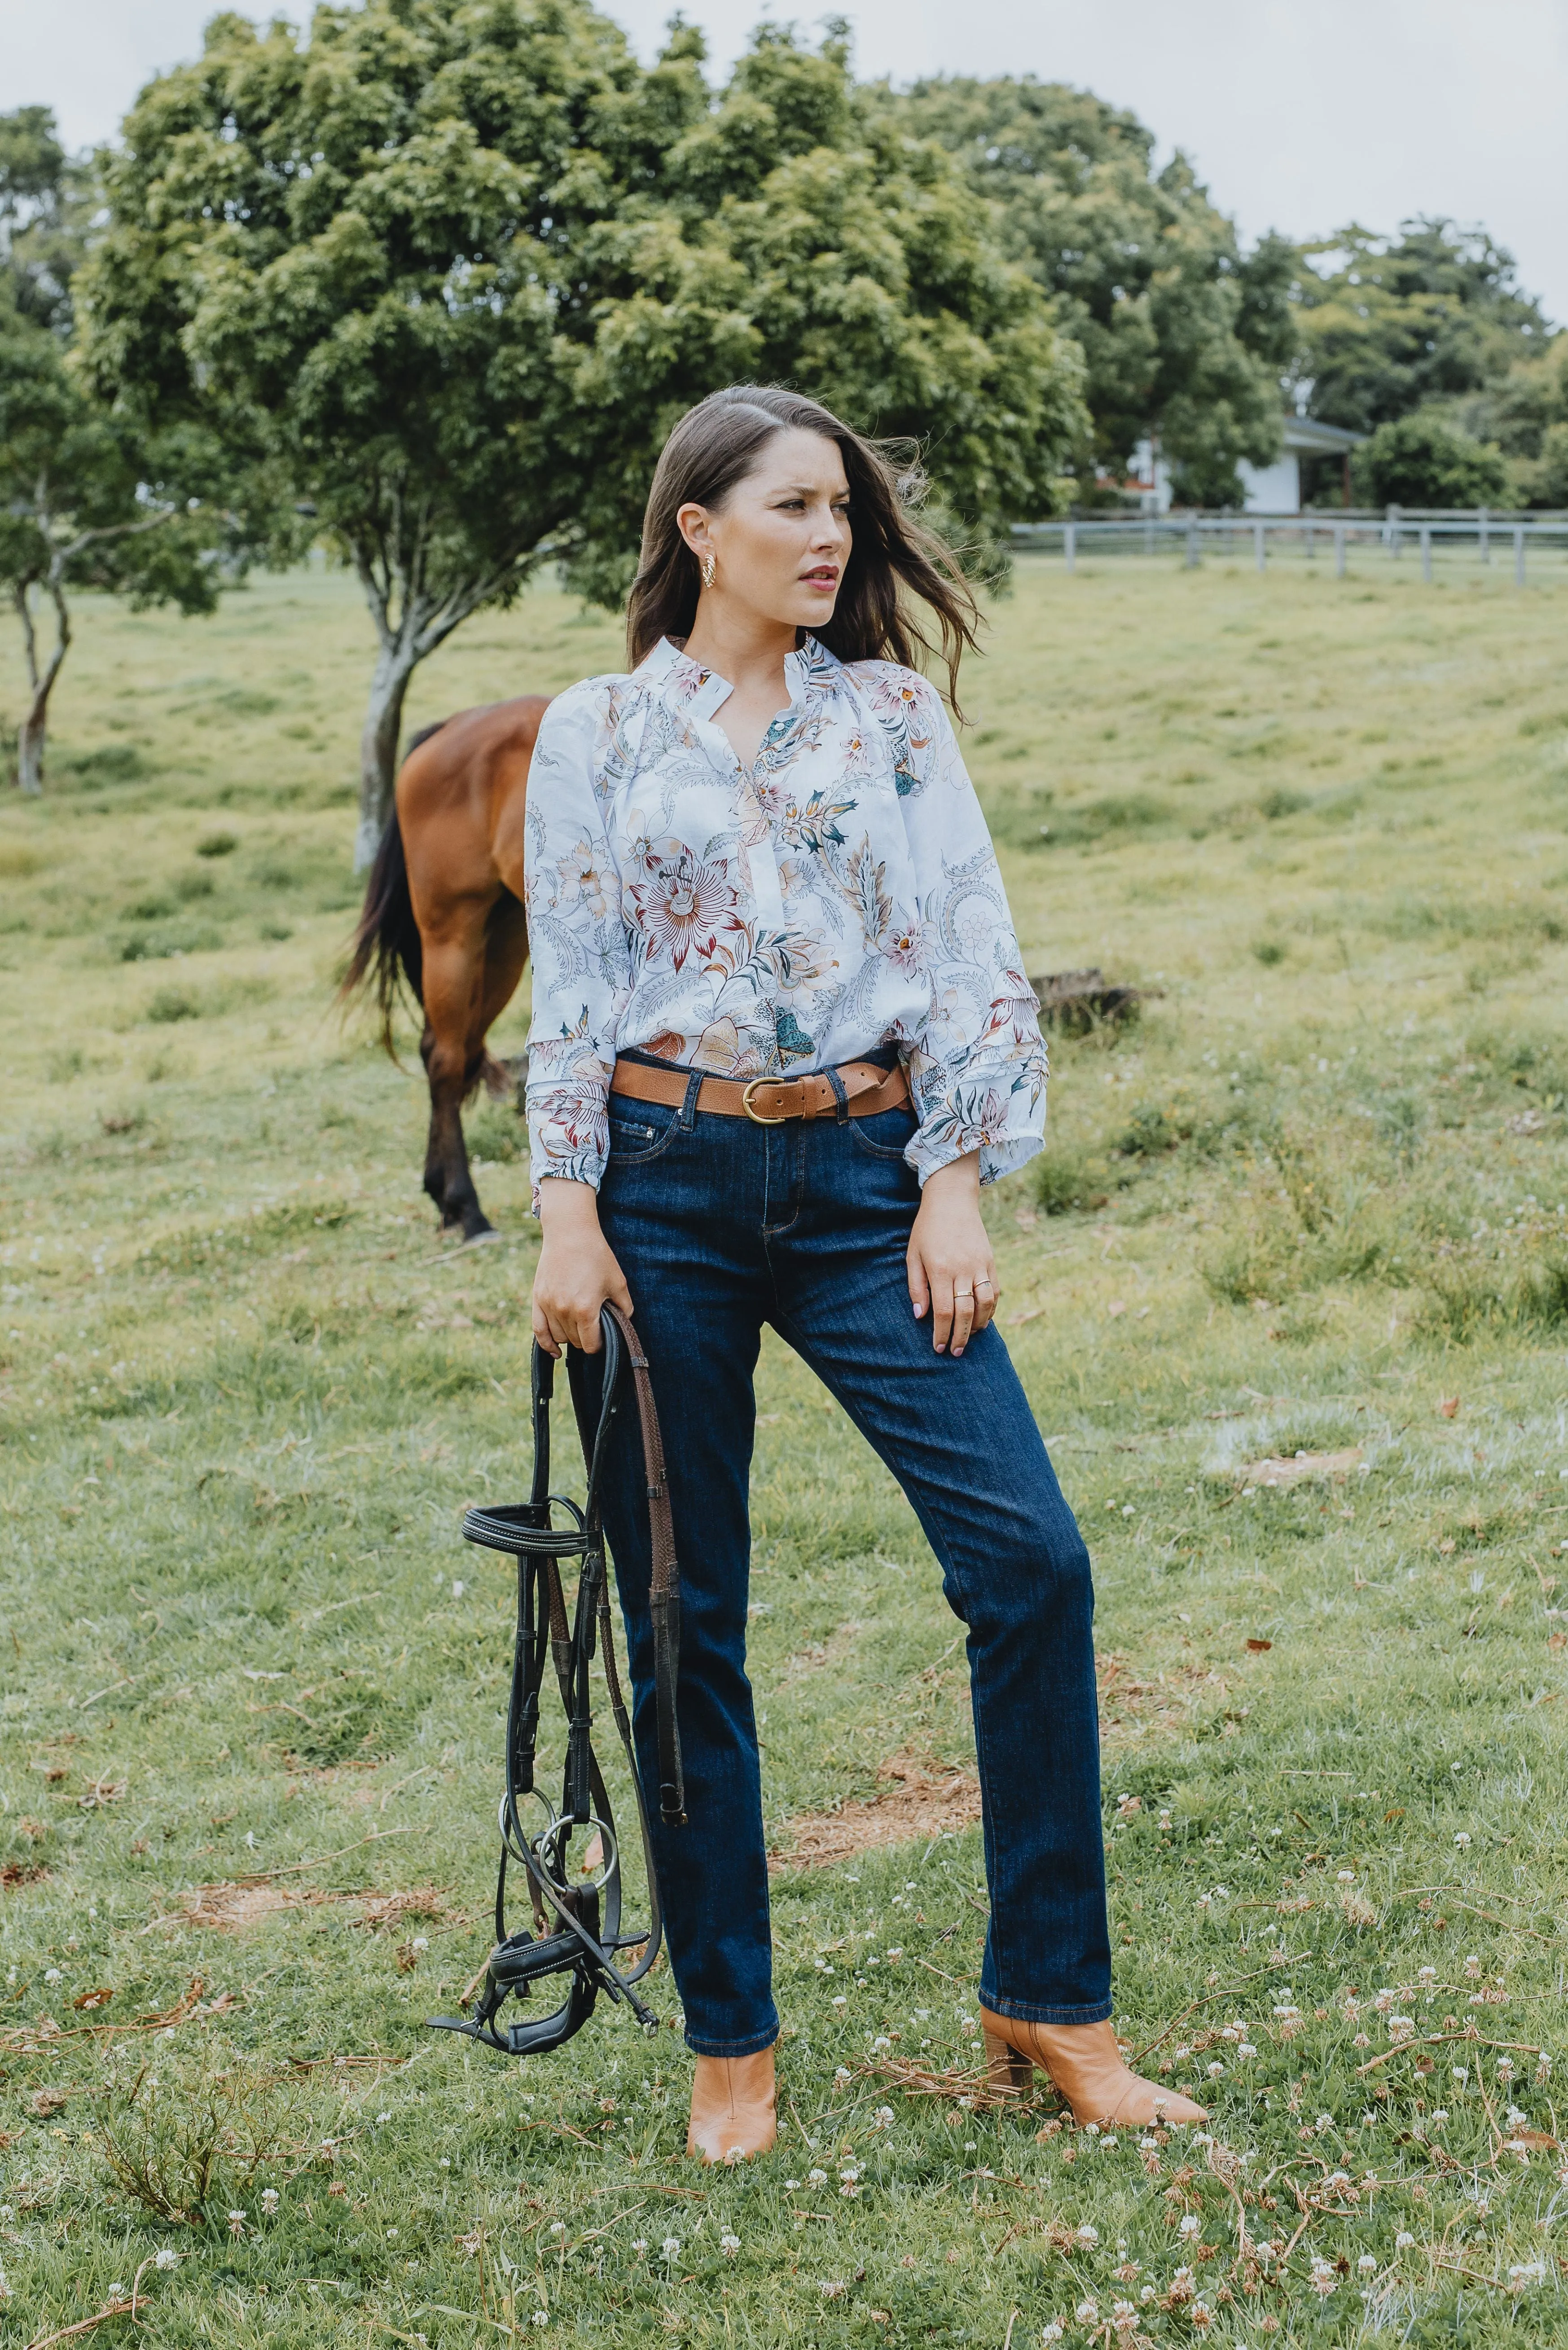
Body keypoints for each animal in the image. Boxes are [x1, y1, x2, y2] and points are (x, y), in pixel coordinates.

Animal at [341, 695, 550, 1241]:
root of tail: (448, 728)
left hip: (504, 943)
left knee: (450, 1049)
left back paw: (443, 1196)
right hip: (452, 935)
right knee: (446, 1059)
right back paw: (467, 1208)